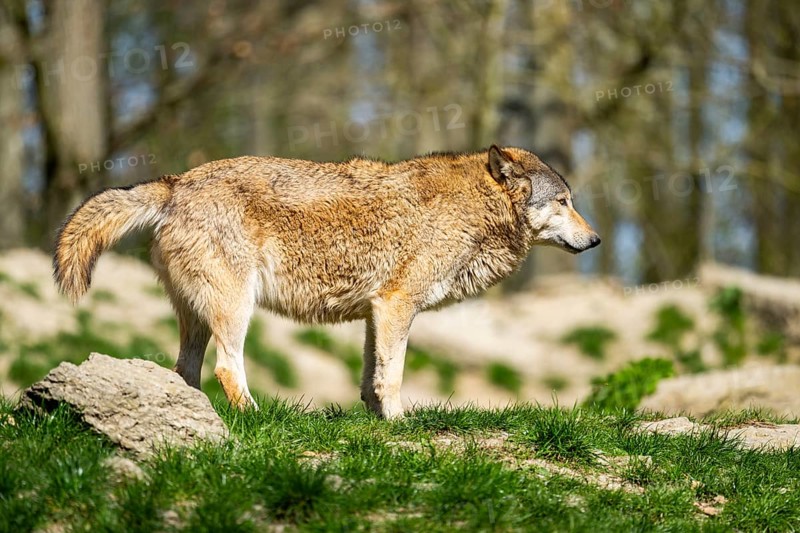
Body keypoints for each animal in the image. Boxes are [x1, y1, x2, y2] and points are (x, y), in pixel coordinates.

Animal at [54, 146, 600, 419]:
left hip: (197, 318)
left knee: (187, 369)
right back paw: (256, 417)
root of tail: (176, 183)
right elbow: (394, 375)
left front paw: (377, 422)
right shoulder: (398, 306)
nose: (595, 240)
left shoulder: (377, 313)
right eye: (564, 201)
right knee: (228, 367)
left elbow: (371, 376)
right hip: (235, 309)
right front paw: (402, 424)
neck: (472, 209)